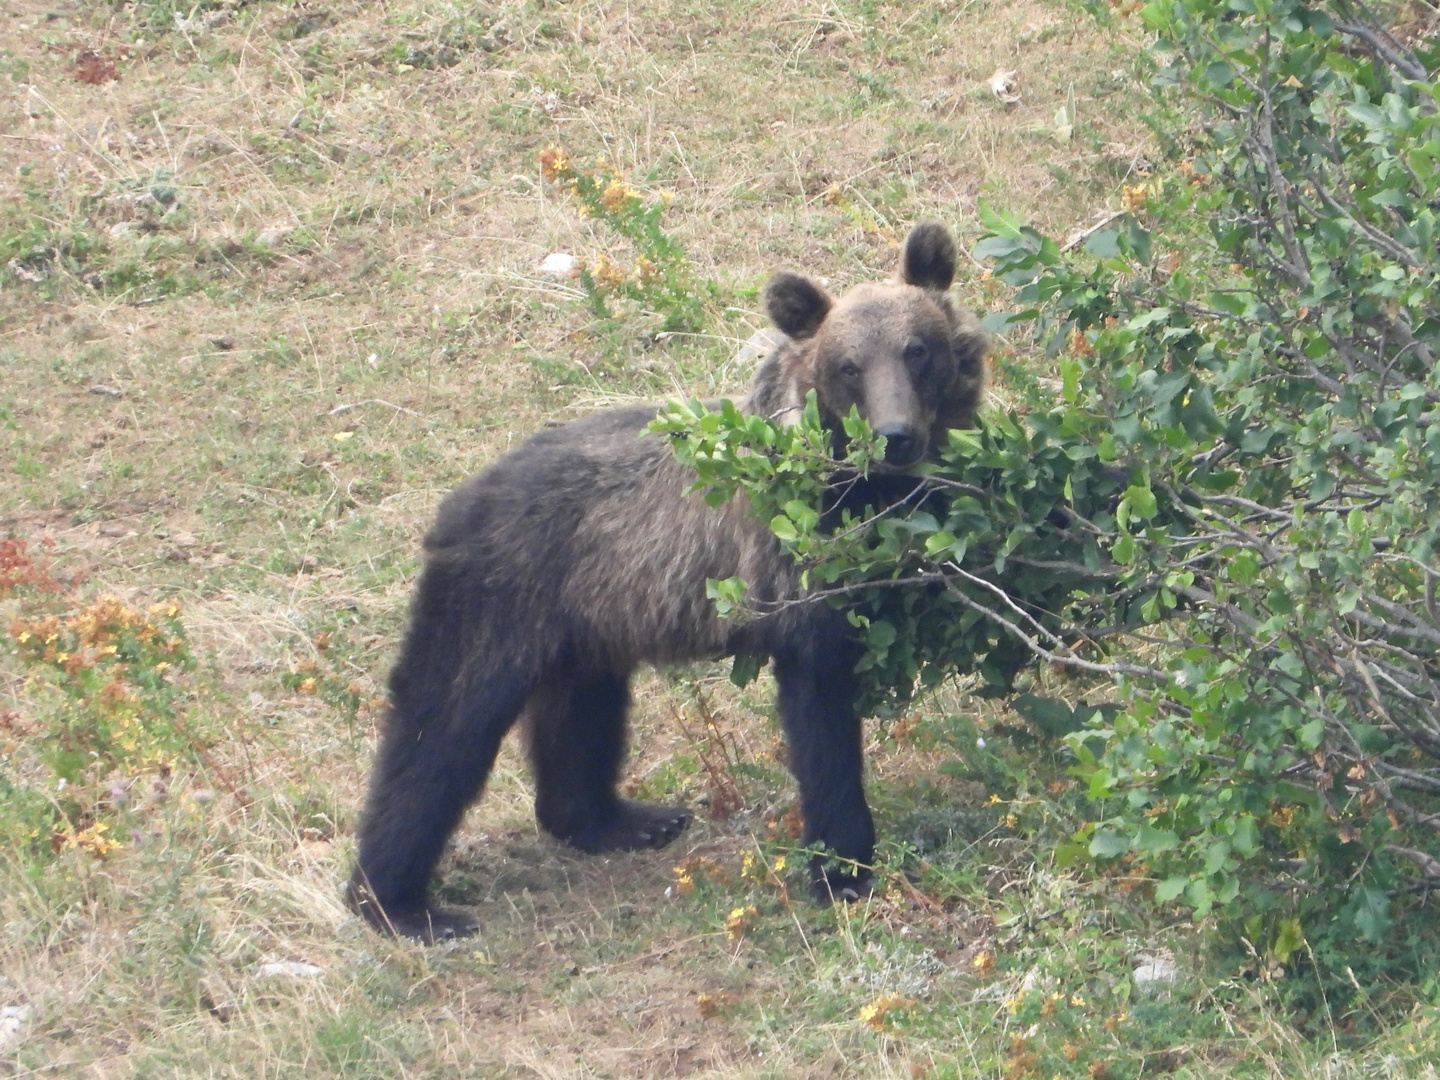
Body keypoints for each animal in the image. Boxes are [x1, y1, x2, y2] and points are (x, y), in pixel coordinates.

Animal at [348, 224, 990, 944]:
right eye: (848, 366)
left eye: (918, 350)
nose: (894, 436)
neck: (859, 491)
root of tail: (456, 502)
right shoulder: (794, 576)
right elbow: (821, 719)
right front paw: (843, 866)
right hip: (496, 596)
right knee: (440, 728)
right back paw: (401, 902)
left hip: (587, 621)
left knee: (582, 717)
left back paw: (620, 819)